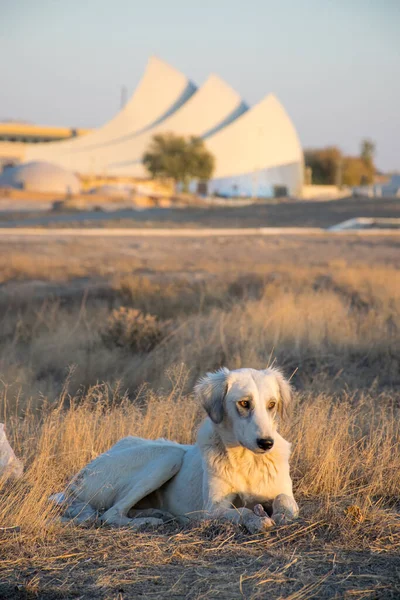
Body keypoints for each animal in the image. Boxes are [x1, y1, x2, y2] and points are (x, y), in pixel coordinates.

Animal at [57, 366, 300, 536]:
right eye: (244, 403)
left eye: (272, 404)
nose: (266, 443)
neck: (248, 460)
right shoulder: (213, 509)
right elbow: (242, 511)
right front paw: (258, 520)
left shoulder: (284, 493)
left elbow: (284, 501)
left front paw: (281, 515)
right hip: (169, 455)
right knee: (110, 514)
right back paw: (149, 521)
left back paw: (158, 513)